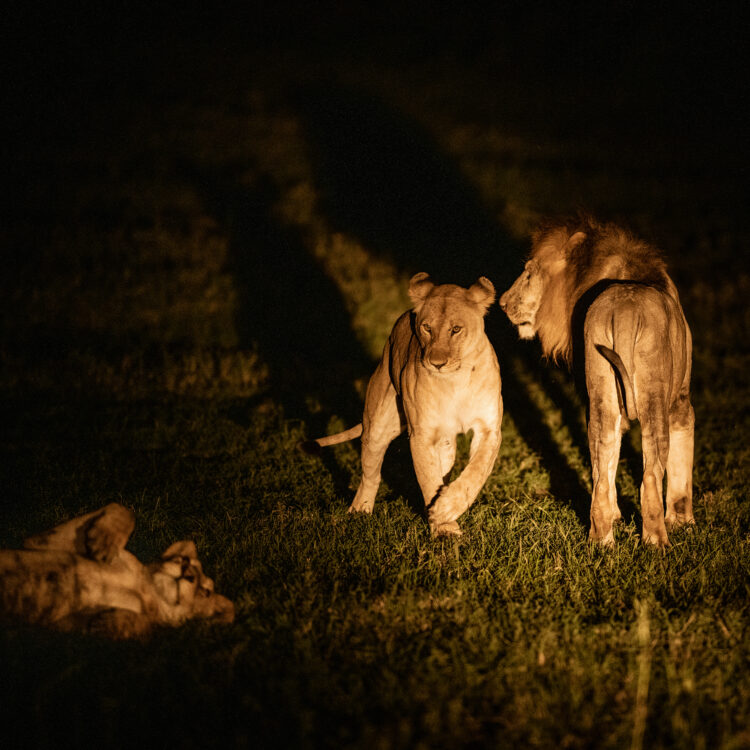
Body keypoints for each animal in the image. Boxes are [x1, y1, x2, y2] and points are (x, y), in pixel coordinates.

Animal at [0, 506, 235, 640]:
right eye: (184, 560)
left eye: (205, 591)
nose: (187, 573)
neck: (144, 588)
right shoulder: (45, 542)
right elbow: (123, 509)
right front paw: (103, 541)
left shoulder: (61, 627)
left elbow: (150, 628)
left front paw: (111, 623)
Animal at [302, 274, 506, 536]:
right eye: (427, 328)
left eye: (456, 329)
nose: (436, 363)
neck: (455, 379)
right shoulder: (421, 434)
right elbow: (428, 479)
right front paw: (443, 526)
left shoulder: (489, 429)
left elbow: (476, 472)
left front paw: (447, 507)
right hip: (378, 425)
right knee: (371, 475)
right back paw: (360, 512)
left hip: (445, 442)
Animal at [502, 217, 696, 548]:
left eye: (528, 273)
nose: (502, 303)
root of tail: (626, 310)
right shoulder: (681, 400)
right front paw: (684, 521)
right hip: (655, 396)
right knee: (650, 474)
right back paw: (656, 542)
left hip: (602, 388)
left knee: (601, 467)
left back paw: (602, 540)